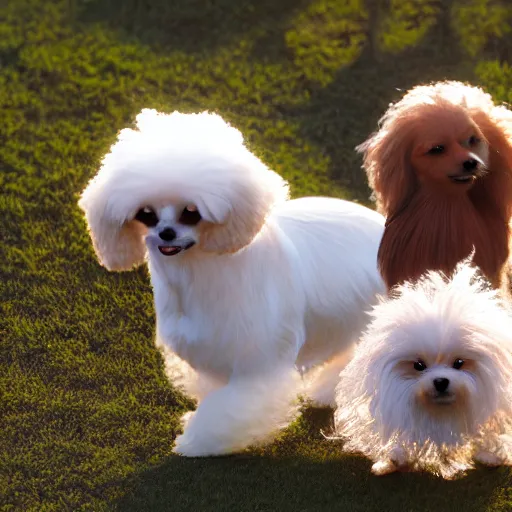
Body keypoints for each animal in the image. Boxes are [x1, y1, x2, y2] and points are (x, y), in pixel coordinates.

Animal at [79, 108, 384, 456]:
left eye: (191, 212)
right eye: (146, 214)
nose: (165, 233)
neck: (195, 273)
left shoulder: (257, 364)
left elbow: (229, 407)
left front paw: (196, 441)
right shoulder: (210, 351)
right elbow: (214, 394)